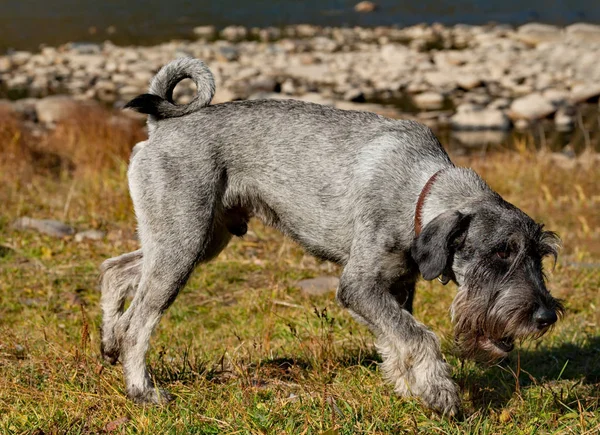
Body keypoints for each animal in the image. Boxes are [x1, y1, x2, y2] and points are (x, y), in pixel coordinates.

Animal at [98, 58, 564, 416]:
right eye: (500, 252)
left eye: (540, 256)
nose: (545, 316)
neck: (418, 190)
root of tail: (160, 129)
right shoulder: (359, 286)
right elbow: (417, 336)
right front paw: (440, 393)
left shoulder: (395, 288)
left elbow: (396, 339)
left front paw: (411, 389)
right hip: (183, 245)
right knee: (139, 321)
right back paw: (142, 390)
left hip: (195, 240)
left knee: (116, 271)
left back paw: (108, 342)